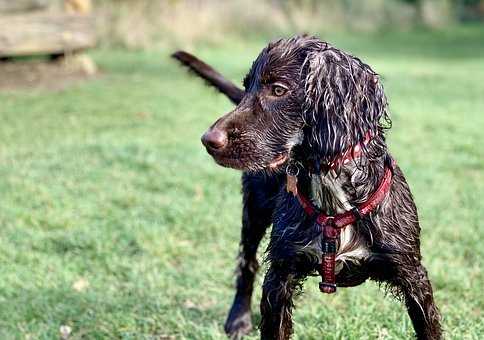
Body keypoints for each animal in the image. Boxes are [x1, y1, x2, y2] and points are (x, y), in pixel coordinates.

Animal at [173, 35, 442, 338]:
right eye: (246, 88)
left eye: (278, 90)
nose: (209, 140)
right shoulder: (280, 275)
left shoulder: (413, 275)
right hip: (254, 210)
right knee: (247, 263)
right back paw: (238, 318)